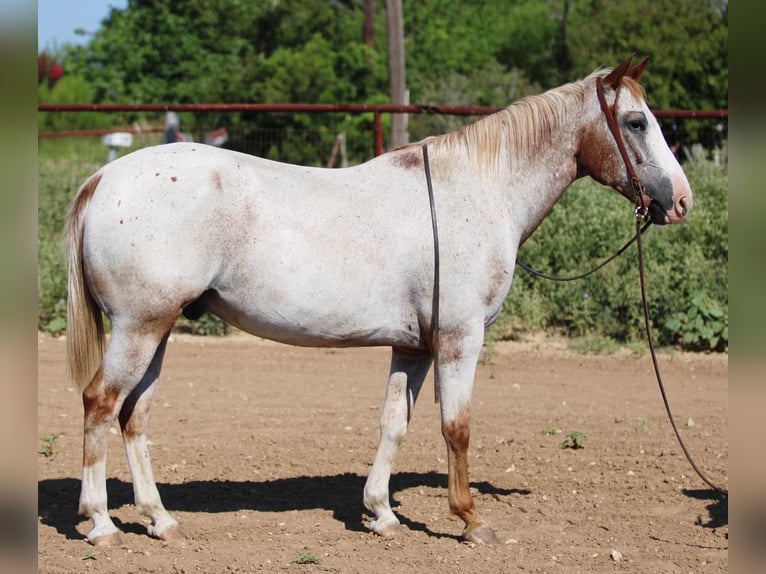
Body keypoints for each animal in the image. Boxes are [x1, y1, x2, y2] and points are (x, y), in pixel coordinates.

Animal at [65, 57, 693, 546]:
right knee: (100, 404)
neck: (477, 192)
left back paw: (160, 520)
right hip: (139, 327)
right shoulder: (460, 340)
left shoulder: (413, 348)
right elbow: (456, 427)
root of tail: (104, 178)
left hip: (159, 329)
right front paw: (470, 520)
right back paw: (101, 523)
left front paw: (382, 513)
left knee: (133, 415)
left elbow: (395, 423)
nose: (682, 201)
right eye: (636, 121)